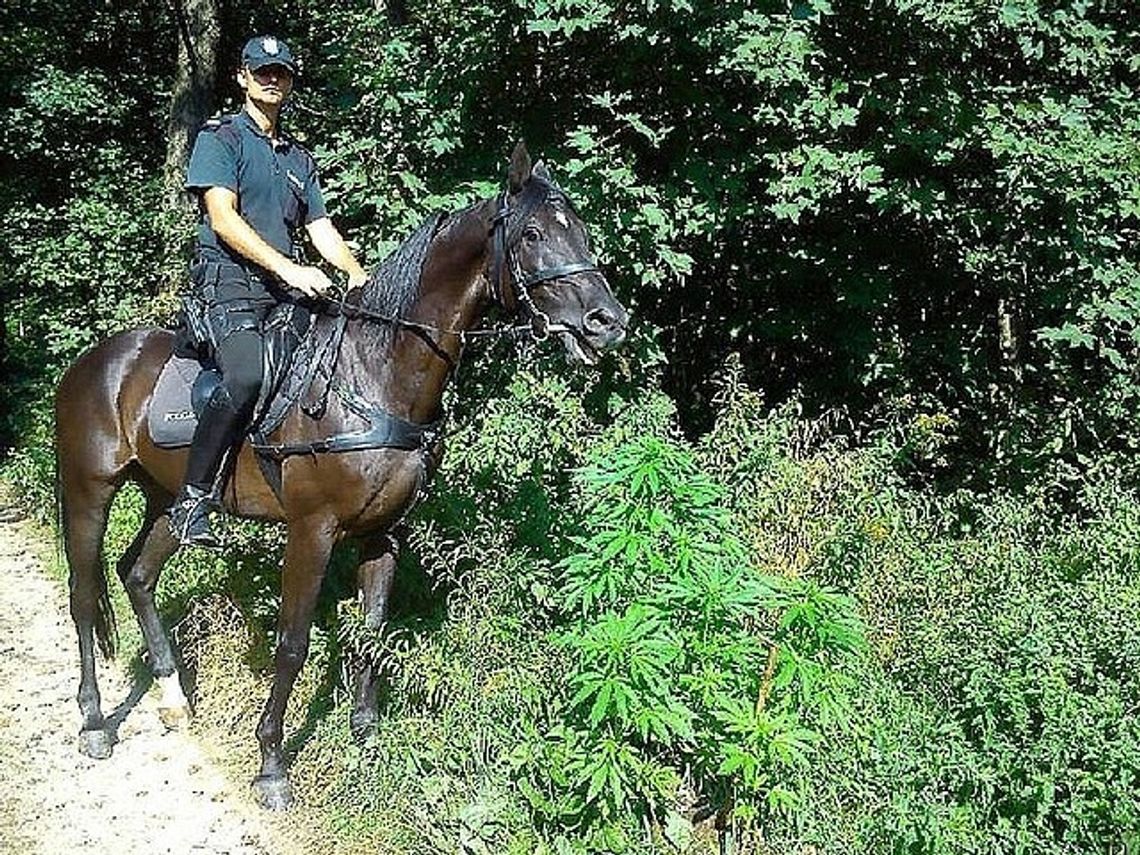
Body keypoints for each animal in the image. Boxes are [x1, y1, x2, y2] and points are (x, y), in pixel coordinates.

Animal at [57, 145, 629, 811]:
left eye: (580, 230)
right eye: (533, 234)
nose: (607, 321)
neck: (375, 376)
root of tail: (95, 362)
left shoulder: (384, 533)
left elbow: (372, 632)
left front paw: (366, 735)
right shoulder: (313, 531)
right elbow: (293, 642)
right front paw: (272, 764)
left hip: (167, 500)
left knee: (137, 574)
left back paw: (173, 698)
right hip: (88, 491)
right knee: (82, 594)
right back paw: (94, 721)